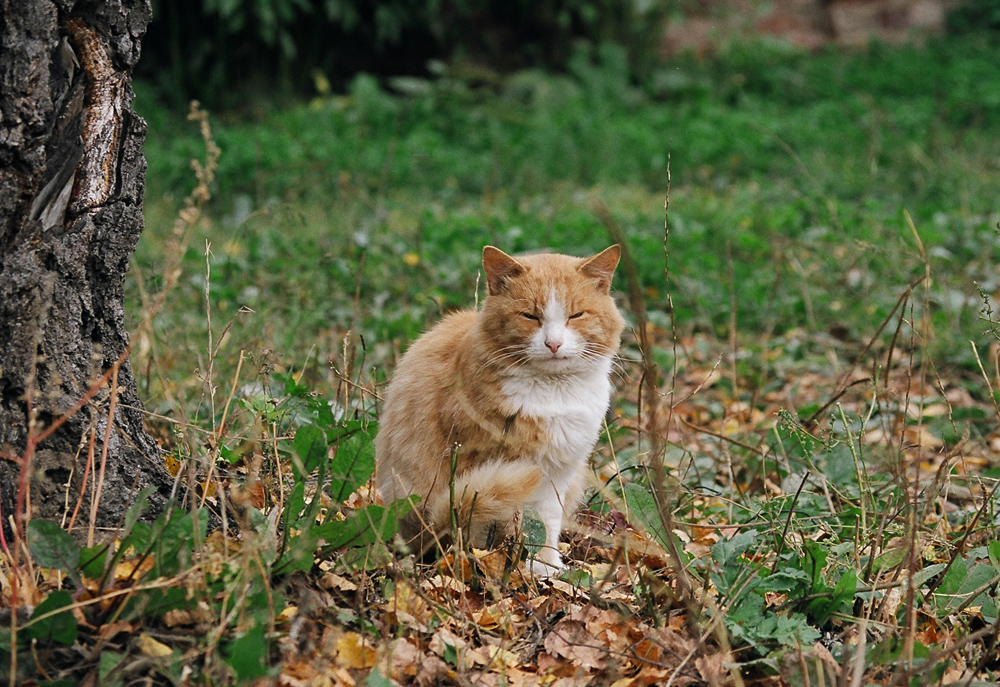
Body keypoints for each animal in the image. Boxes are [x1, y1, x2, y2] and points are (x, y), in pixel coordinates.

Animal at [376, 245, 620, 576]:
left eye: (576, 315)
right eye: (530, 316)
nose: (554, 344)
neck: (554, 394)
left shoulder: (558, 474)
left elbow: (545, 526)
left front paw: (546, 567)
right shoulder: (487, 465)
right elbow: (505, 525)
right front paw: (507, 566)